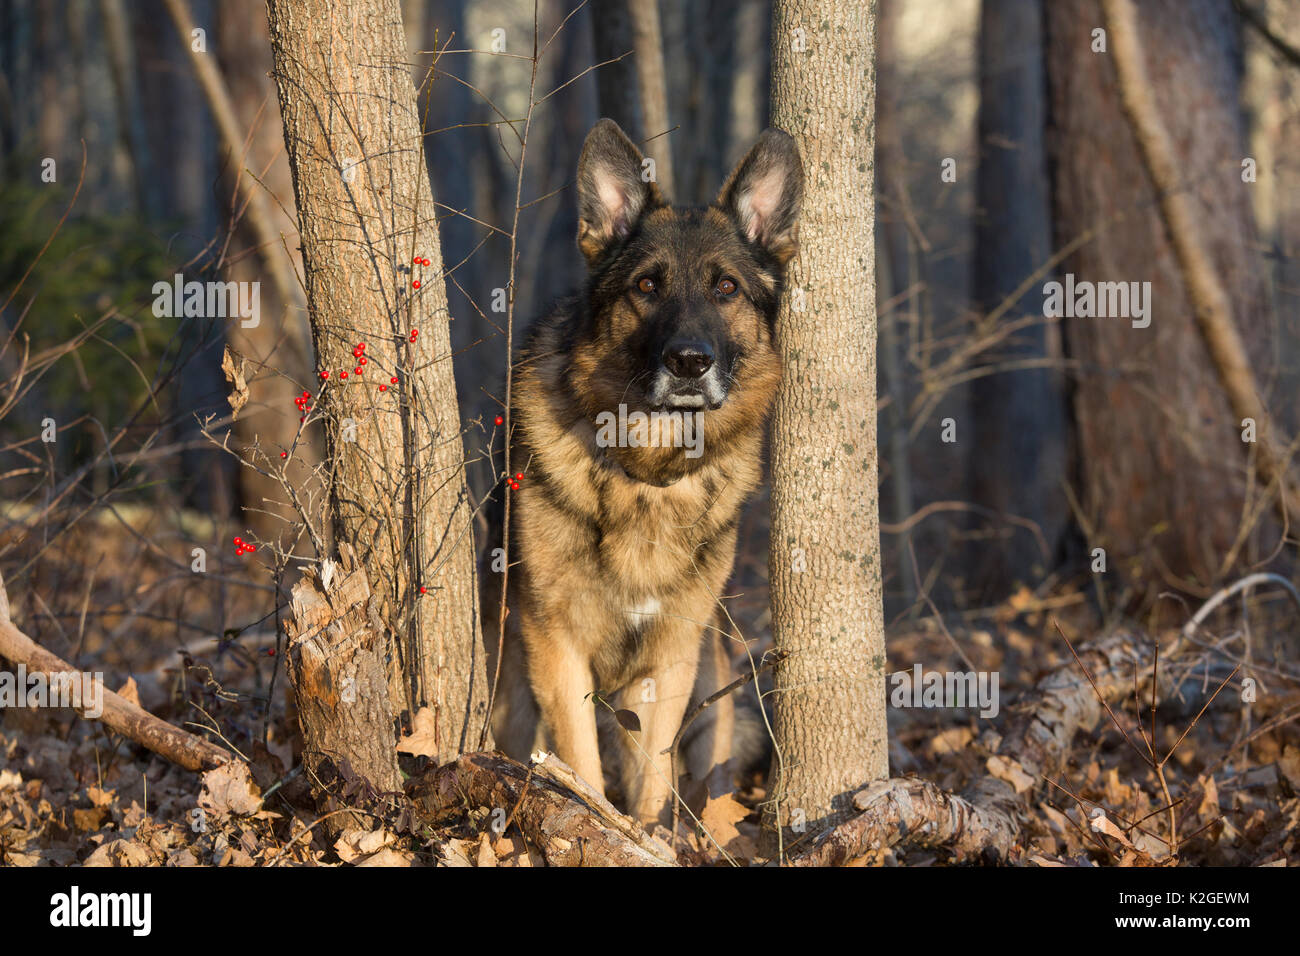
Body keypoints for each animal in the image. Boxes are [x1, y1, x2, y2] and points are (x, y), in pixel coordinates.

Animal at [483, 117, 795, 822]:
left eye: (726, 288)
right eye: (647, 286)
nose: (688, 362)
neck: (645, 472)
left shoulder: (670, 661)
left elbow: (652, 781)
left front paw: (647, 835)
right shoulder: (555, 648)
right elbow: (583, 770)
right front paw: (597, 828)